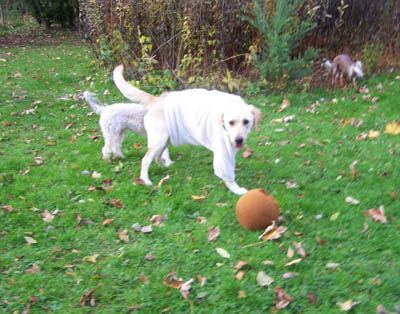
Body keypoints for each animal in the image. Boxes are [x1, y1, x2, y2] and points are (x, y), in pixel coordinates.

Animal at [112, 63, 262, 194]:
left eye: (246, 122)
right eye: (231, 122)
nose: (239, 140)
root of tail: (159, 100)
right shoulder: (223, 150)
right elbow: (228, 174)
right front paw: (236, 189)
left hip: (165, 139)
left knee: (157, 157)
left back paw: (164, 166)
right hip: (159, 140)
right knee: (145, 160)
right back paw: (145, 180)